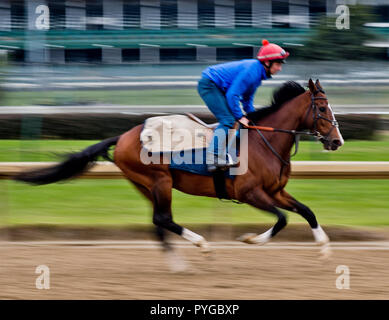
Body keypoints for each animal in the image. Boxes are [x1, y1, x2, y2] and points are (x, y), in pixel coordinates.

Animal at [14, 79, 342, 264]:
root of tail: (123, 136)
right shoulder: (250, 193)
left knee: (157, 222)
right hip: (159, 180)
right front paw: (249, 239)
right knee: (163, 218)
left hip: (146, 186)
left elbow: (306, 210)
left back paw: (177, 262)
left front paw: (324, 248)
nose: (337, 141)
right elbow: (282, 219)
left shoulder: (276, 190)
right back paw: (202, 246)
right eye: (322, 109)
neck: (265, 141)